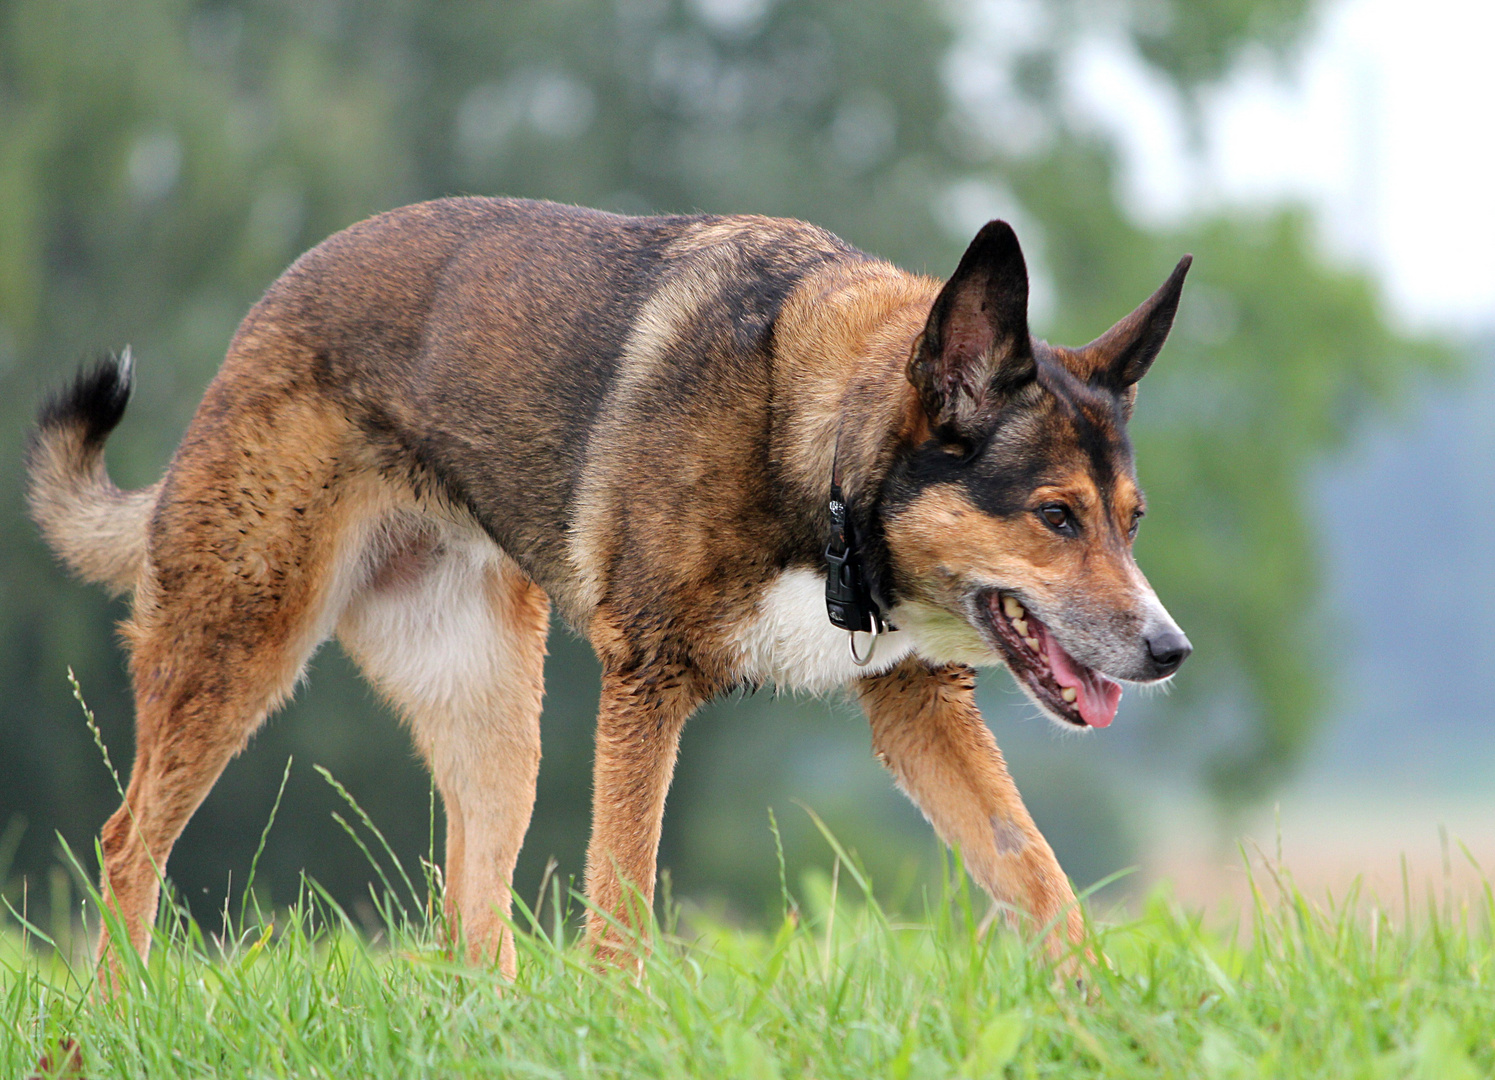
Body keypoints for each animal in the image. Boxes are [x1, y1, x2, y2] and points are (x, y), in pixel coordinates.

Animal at [26, 195, 1190, 975]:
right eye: (1055, 516)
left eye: (1132, 523)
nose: (1169, 651)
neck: (815, 453)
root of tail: (264, 313)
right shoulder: (649, 687)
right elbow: (622, 899)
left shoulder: (917, 708)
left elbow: (1037, 874)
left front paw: (1106, 1021)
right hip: (237, 647)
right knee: (129, 846)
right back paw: (123, 1017)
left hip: (499, 723)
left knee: (471, 907)